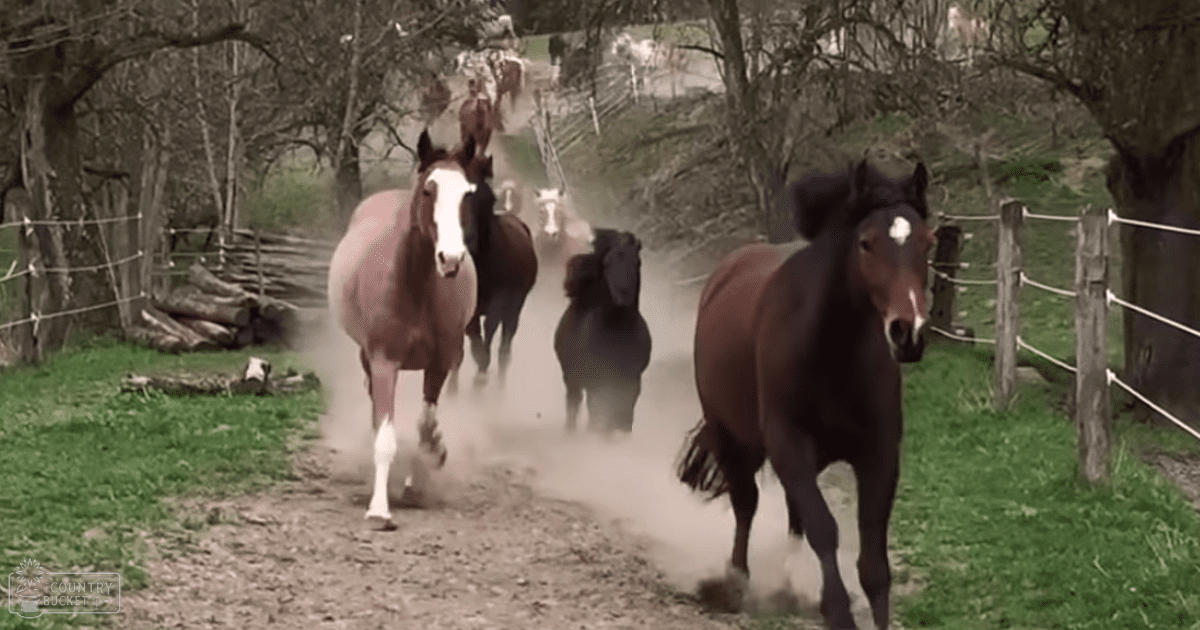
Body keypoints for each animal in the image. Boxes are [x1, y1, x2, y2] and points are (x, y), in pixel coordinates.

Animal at [326, 131, 481, 530]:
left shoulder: (441, 362)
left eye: (468, 193)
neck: (415, 287)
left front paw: (427, 465)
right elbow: (385, 436)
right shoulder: (384, 362)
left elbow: (426, 424)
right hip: (366, 357)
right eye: (429, 190)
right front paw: (379, 509)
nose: (451, 259)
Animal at [554, 228, 651, 433]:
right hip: (572, 379)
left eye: (637, 261)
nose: (623, 294)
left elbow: (624, 418)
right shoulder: (597, 383)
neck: (617, 332)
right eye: (607, 263)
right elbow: (599, 415)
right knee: (574, 406)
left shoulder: (631, 384)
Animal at [676, 160, 932, 629]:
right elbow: (824, 529)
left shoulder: (879, 452)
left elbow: (873, 559)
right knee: (747, 504)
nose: (909, 333)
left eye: (929, 241)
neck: (832, 352)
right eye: (866, 244)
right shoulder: (788, 442)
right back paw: (735, 582)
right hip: (731, 435)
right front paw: (837, 611)